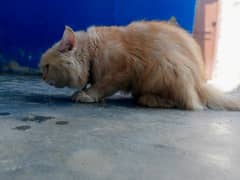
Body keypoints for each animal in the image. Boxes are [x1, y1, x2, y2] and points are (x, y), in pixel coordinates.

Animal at [39, 21, 240, 111]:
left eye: (47, 67)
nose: (42, 76)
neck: (94, 50)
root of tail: (200, 84)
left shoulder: (122, 69)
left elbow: (102, 86)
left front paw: (87, 94)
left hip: (165, 67)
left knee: (186, 102)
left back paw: (151, 99)